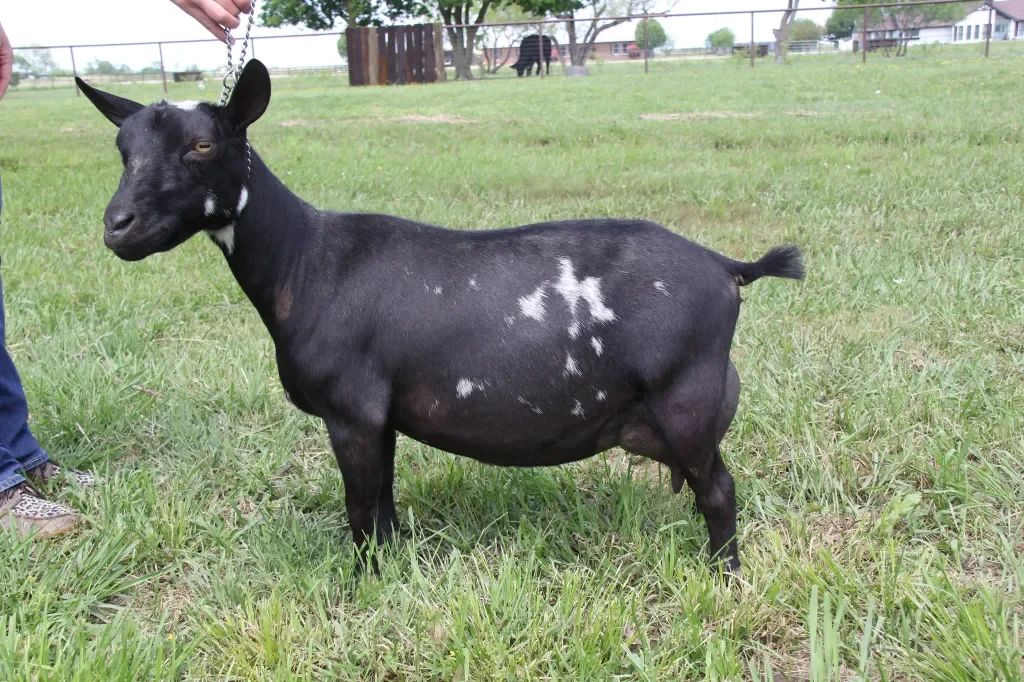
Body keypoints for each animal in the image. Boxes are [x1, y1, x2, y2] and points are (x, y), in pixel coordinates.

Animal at [75, 60, 804, 575]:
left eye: (201, 146)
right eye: (121, 148)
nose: (117, 227)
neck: (307, 260)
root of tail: (727, 268)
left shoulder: (351, 409)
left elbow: (360, 506)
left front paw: (363, 583)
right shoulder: (381, 416)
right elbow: (385, 501)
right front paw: (393, 564)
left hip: (687, 402)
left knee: (720, 490)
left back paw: (725, 575)